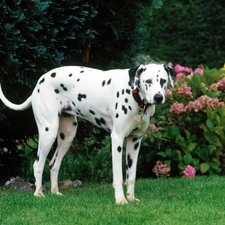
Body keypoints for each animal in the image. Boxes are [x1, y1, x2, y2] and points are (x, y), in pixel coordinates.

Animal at [0, 63, 174, 204]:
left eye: (162, 81)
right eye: (148, 81)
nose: (158, 97)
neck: (133, 93)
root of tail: (39, 82)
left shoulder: (135, 141)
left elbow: (131, 175)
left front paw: (131, 198)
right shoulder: (117, 139)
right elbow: (118, 176)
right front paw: (120, 199)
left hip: (67, 136)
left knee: (54, 164)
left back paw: (55, 192)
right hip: (48, 132)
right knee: (38, 164)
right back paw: (38, 193)